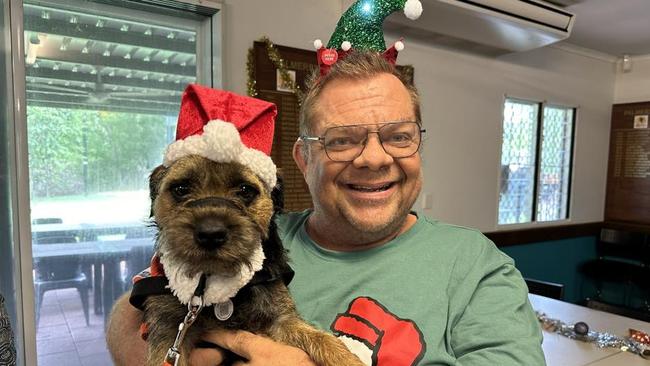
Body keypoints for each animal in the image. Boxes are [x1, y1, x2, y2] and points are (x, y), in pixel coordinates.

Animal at [136, 155, 364, 366]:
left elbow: (319, 337)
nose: (210, 233)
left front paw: (347, 359)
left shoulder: (281, 319)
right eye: (181, 189)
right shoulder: (169, 331)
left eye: (245, 190)